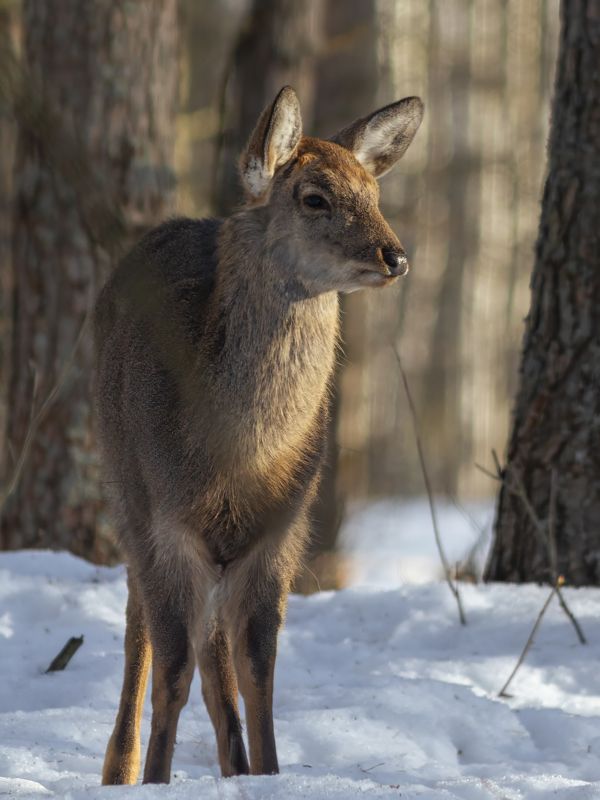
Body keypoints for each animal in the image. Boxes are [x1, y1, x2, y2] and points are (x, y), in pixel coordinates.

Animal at [95, 86, 423, 785]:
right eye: (314, 197)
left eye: (374, 193)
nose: (395, 256)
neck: (234, 460)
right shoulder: (165, 520)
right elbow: (171, 667)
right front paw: (156, 781)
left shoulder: (282, 529)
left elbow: (258, 671)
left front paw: (269, 773)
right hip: (123, 484)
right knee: (141, 625)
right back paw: (120, 768)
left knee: (215, 650)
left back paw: (234, 765)